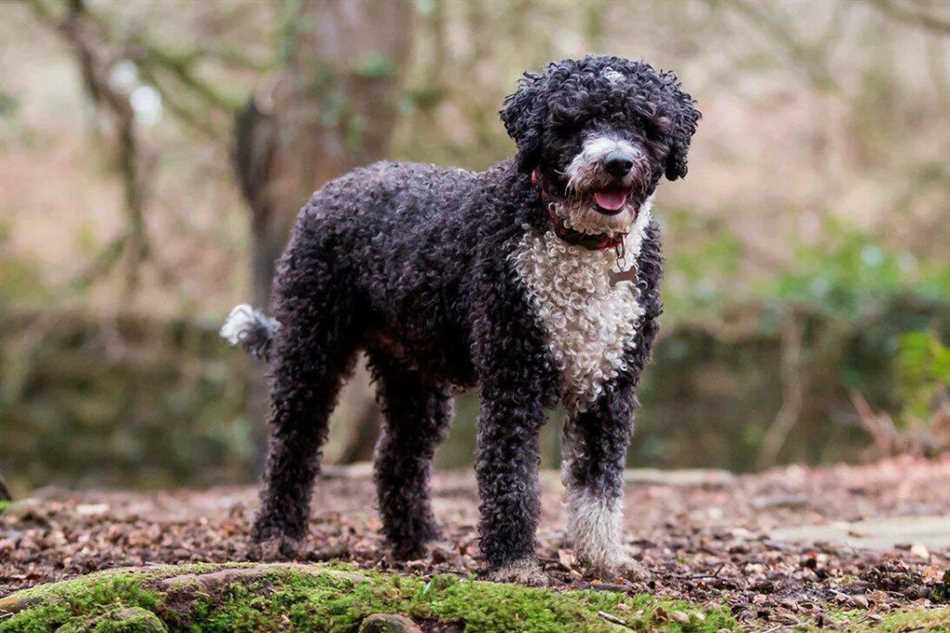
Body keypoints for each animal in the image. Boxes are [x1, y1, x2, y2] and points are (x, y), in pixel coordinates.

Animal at [221, 55, 700, 584]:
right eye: (574, 121)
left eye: (644, 123)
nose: (616, 162)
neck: (577, 242)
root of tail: (339, 184)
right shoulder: (514, 376)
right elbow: (511, 477)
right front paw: (514, 563)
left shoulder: (610, 385)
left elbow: (600, 483)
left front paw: (603, 557)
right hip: (311, 345)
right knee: (294, 444)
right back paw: (275, 535)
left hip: (414, 373)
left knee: (396, 457)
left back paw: (417, 542)